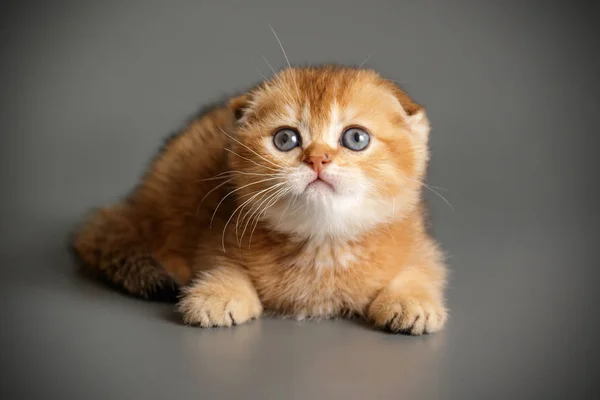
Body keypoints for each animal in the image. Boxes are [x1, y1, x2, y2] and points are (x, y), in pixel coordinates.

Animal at [71, 65, 446, 334]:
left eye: (356, 138)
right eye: (285, 139)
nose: (318, 159)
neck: (322, 243)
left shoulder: (418, 241)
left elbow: (422, 268)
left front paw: (411, 301)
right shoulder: (217, 233)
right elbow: (222, 265)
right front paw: (219, 293)